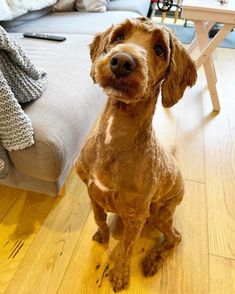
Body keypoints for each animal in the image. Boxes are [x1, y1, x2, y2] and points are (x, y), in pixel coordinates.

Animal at [75, 17, 196, 292]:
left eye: (160, 49)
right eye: (119, 36)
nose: (122, 61)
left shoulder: (136, 217)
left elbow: (127, 248)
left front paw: (120, 276)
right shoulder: (92, 192)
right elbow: (99, 218)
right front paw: (103, 236)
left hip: (161, 213)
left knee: (175, 238)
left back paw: (153, 261)